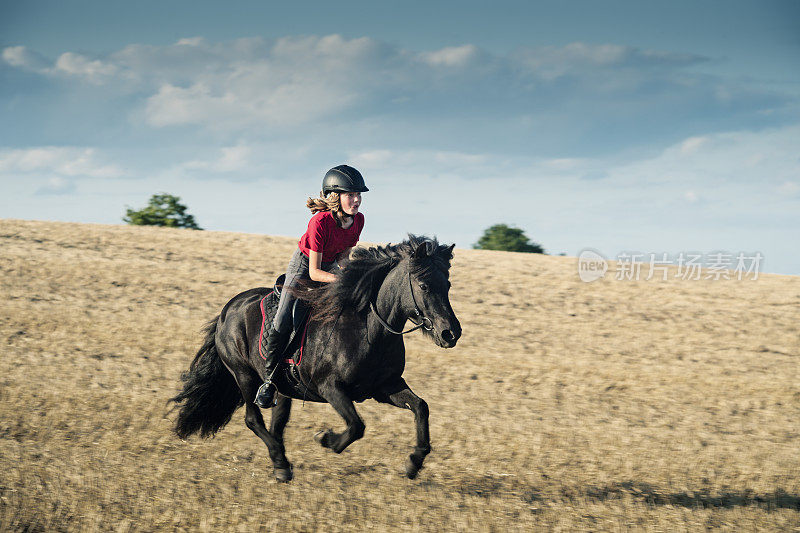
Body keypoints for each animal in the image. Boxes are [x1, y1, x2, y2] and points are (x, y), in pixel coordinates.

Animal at [169, 235, 462, 480]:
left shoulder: (385, 387)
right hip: (243, 375)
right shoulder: (329, 387)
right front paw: (325, 439)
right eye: (423, 285)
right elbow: (356, 426)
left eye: (447, 284)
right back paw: (282, 464)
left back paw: (280, 464)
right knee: (253, 419)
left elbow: (421, 407)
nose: (451, 333)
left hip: (282, 388)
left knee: (277, 423)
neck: (368, 329)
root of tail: (227, 309)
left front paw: (414, 462)